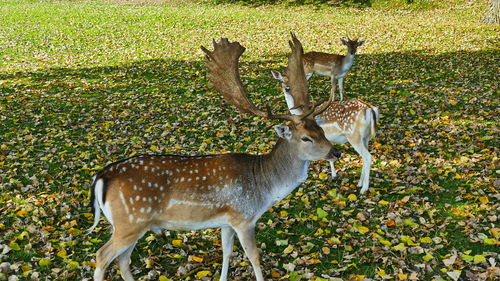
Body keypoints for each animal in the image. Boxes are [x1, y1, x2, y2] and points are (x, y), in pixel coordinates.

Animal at [88, 33, 342, 280]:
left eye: (321, 130)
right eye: (306, 138)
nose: (336, 152)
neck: (264, 188)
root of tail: (101, 177)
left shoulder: (226, 221)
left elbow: (227, 252)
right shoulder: (244, 217)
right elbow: (254, 257)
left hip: (135, 225)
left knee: (122, 260)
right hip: (130, 221)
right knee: (102, 256)